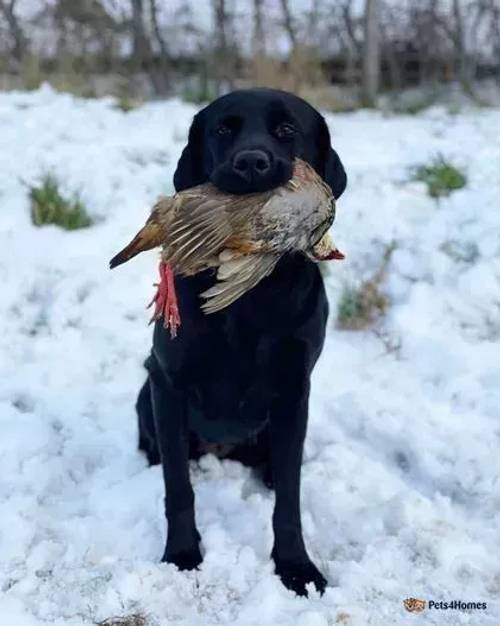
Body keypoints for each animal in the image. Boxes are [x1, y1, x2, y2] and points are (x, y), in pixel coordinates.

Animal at [137, 88, 348, 596]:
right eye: (223, 129)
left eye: (288, 130)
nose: (252, 163)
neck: (249, 302)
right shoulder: (167, 383)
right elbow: (178, 487)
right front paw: (181, 554)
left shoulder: (294, 391)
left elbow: (290, 497)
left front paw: (295, 566)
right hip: (145, 392)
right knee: (161, 451)